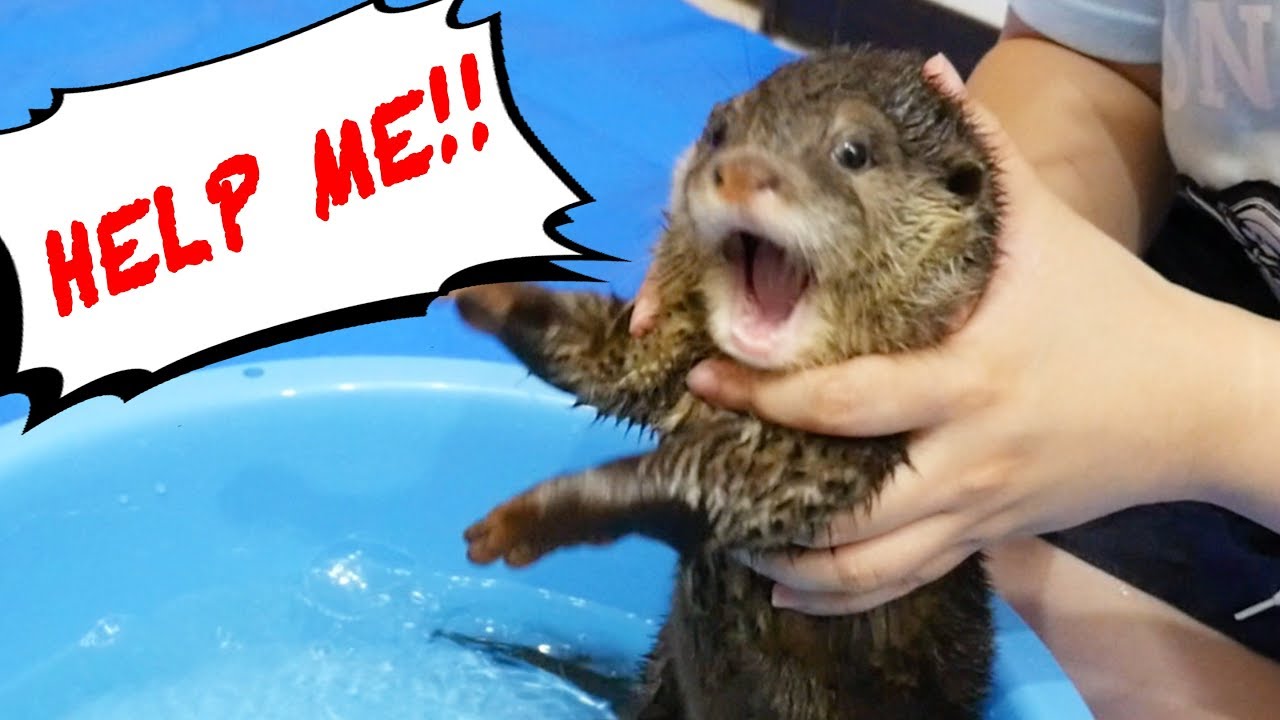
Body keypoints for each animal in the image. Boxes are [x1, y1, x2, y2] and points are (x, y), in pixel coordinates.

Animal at [453, 46, 1001, 719]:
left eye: (853, 151)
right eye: (719, 133)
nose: (741, 172)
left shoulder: (843, 451)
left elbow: (721, 486)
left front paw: (535, 516)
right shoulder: (673, 359)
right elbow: (611, 361)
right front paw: (495, 296)